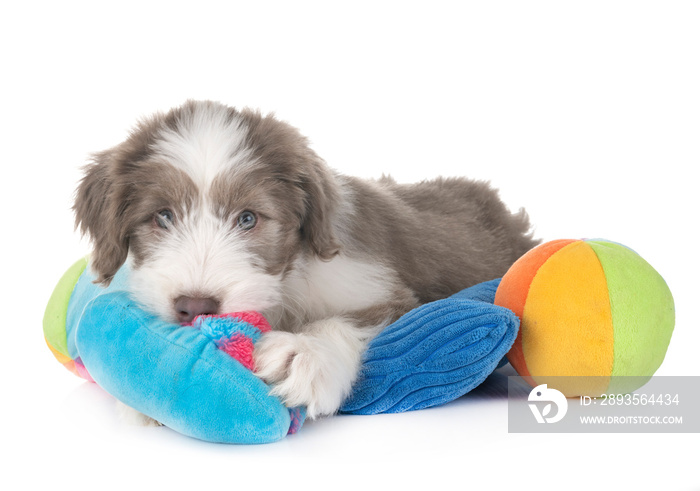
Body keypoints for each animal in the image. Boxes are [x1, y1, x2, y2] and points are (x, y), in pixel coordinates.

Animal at [74, 100, 540, 422]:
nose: (195, 307)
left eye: (248, 218)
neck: (288, 281)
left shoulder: (386, 291)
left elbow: (349, 319)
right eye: (163, 216)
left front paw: (303, 352)